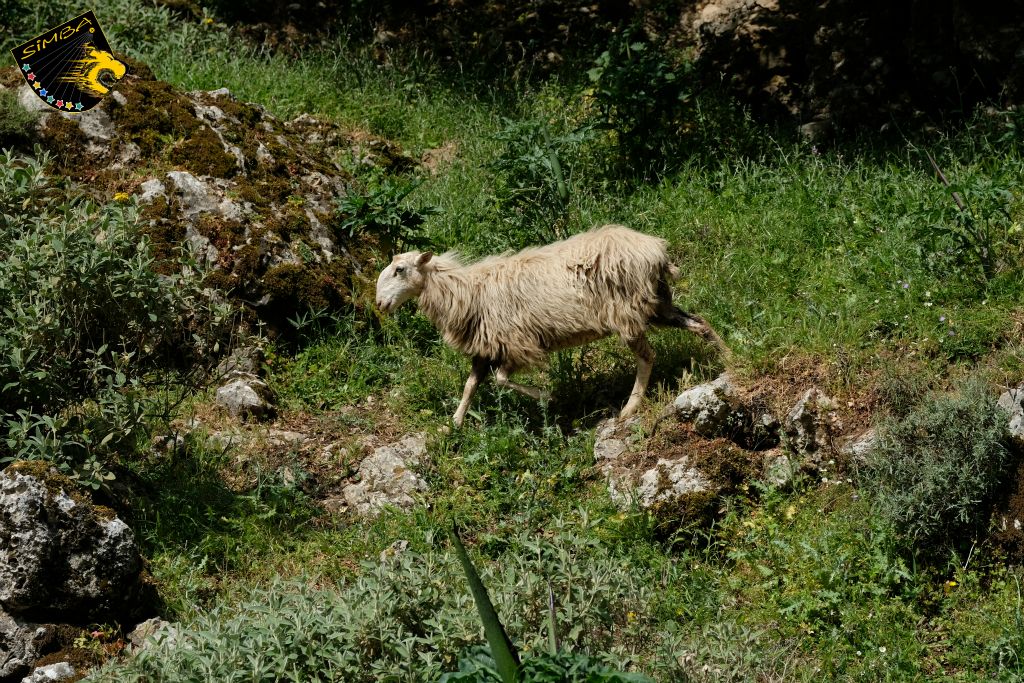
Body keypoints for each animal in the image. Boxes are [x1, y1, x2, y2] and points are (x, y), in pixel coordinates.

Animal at [376, 224, 729, 428]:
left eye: (400, 270)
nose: (380, 304)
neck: (464, 291)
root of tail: (656, 251)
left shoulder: (514, 341)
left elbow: (501, 380)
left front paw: (548, 396)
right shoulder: (487, 346)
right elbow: (471, 385)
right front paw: (454, 423)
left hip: (627, 310)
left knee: (647, 357)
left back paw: (630, 408)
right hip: (656, 303)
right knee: (700, 323)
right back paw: (728, 358)